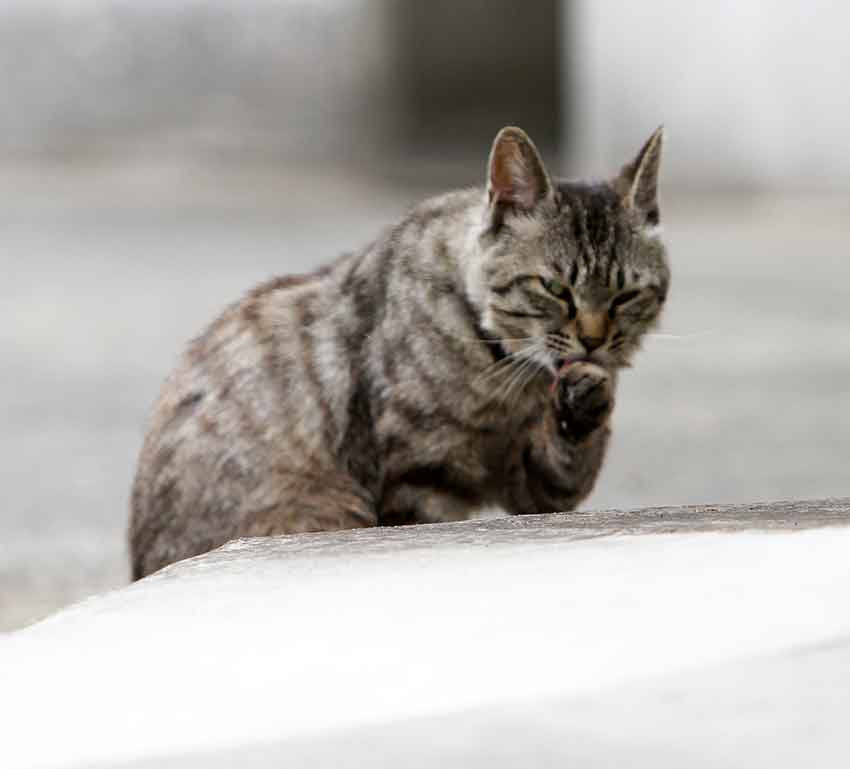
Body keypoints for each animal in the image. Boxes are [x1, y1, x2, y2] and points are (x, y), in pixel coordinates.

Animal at [129, 125, 669, 579]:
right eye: (554, 288)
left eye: (625, 295)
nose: (594, 339)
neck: (504, 375)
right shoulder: (418, 477)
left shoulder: (534, 483)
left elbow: (568, 458)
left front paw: (587, 394)